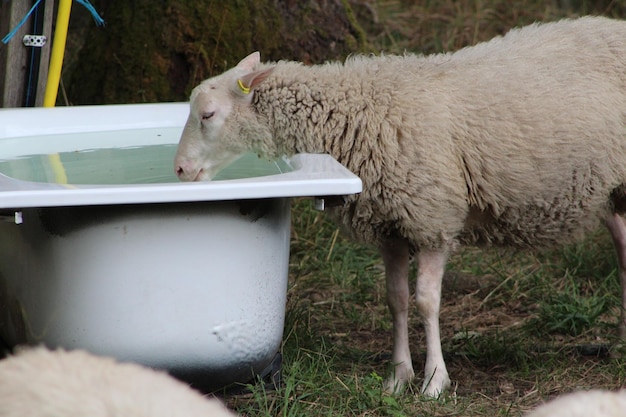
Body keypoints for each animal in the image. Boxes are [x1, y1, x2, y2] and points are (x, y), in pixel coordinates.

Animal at [173, 14, 624, 394]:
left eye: (208, 115)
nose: (178, 169)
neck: (360, 111)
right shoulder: (389, 223)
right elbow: (396, 299)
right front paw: (398, 376)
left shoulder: (433, 216)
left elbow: (426, 301)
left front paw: (435, 380)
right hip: (613, 192)